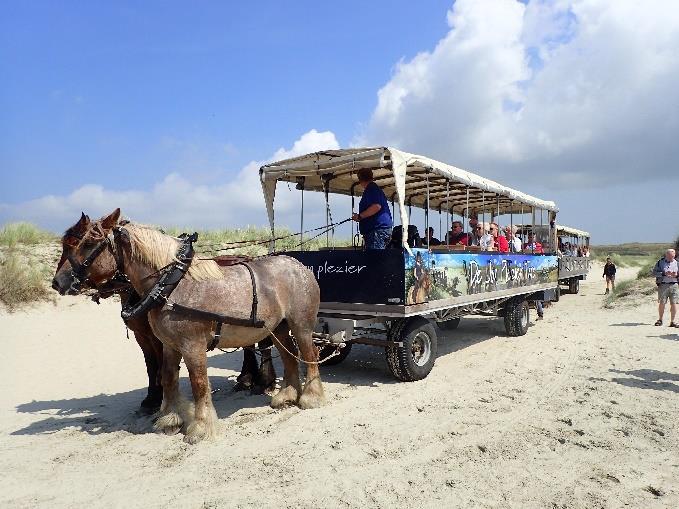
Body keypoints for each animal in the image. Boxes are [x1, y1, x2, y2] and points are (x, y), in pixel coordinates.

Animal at [51, 212, 278, 410]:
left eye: (83, 244)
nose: (57, 283)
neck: (163, 281)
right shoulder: (142, 335)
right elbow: (151, 365)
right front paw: (152, 398)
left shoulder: (158, 336)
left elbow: (160, 366)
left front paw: (160, 399)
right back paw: (248, 378)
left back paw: (261, 380)